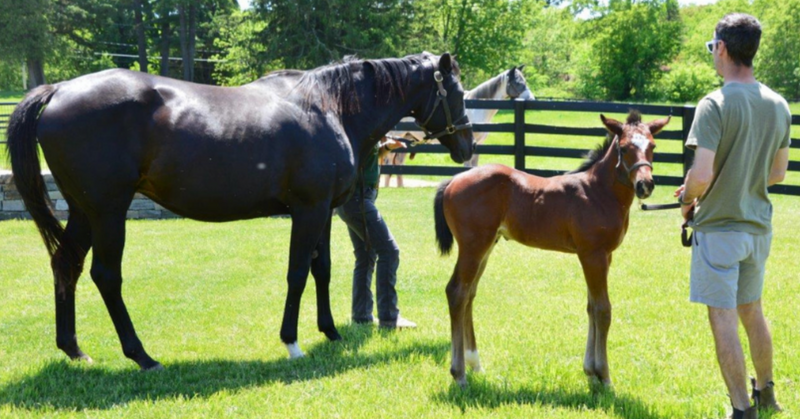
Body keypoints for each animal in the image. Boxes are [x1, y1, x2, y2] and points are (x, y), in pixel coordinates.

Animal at [6, 50, 476, 370]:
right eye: (455, 91)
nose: (467, 147)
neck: (329, 107)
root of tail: (60, 90)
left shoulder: (323, 210)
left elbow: (321, 269)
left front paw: (330, 332)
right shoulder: (307, 210)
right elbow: (297, 272)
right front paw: (292, 342)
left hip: (83, 211)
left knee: (65, 264)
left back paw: (74, 349)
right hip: (107, 211)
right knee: (105, 275)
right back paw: (142, 356)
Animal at [384, 66, 536, 187]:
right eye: (518, 83)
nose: (532, 100)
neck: (478, 109)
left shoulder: (477, 144)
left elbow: (474, 165)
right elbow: (468, 166)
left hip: (408, 138)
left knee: (398, 162)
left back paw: (400, 187)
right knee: (387, 160)